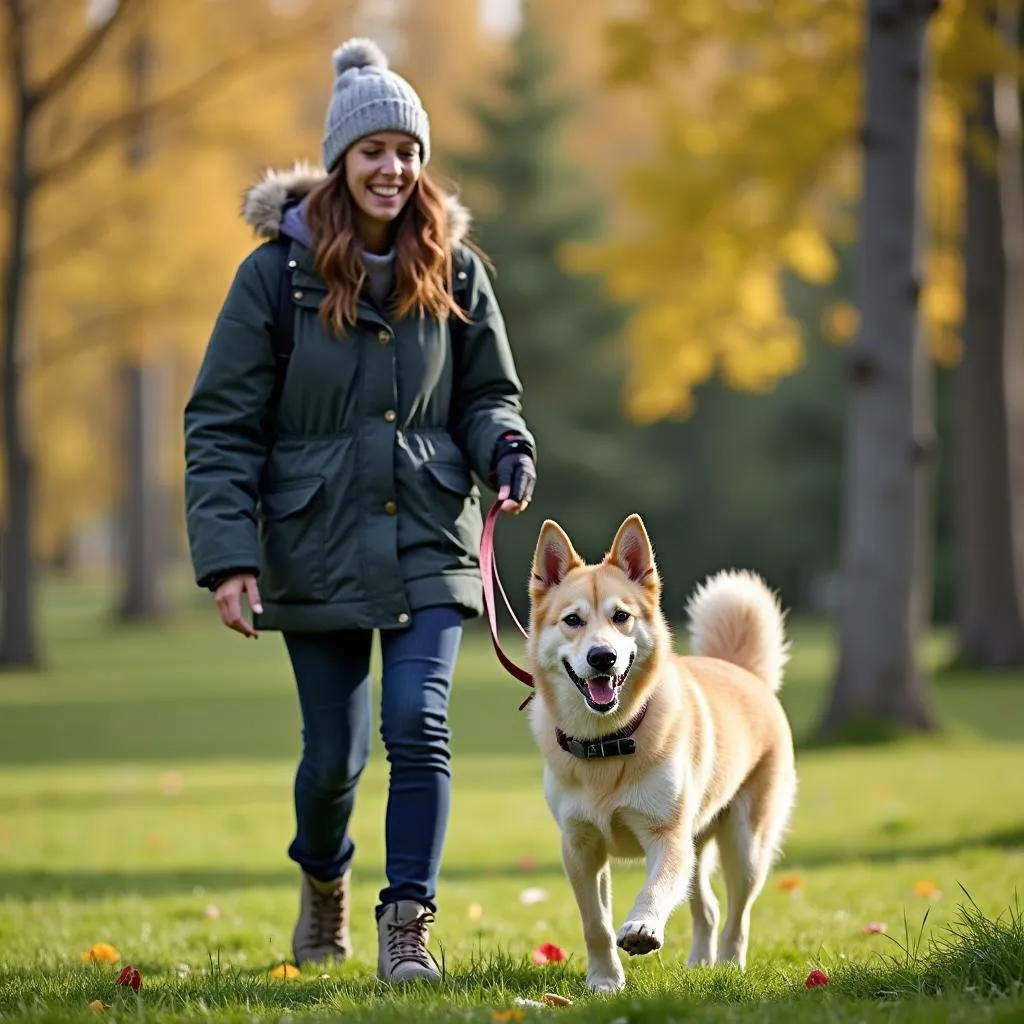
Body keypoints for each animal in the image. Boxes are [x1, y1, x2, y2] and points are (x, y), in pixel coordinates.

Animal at [528, 516, 798, 987]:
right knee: (708, 908)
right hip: (700, 843)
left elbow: (653, 889)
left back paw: (728, 967)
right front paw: (604, 980)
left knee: (737, 916)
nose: (602, 657)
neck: (607, 744)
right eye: (572, 620)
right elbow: (595, 923)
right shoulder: (580, 846)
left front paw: (641, 928)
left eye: (621, 617)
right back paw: (699, 963)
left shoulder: (667, 836)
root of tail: (743, 671)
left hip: (744, 844)